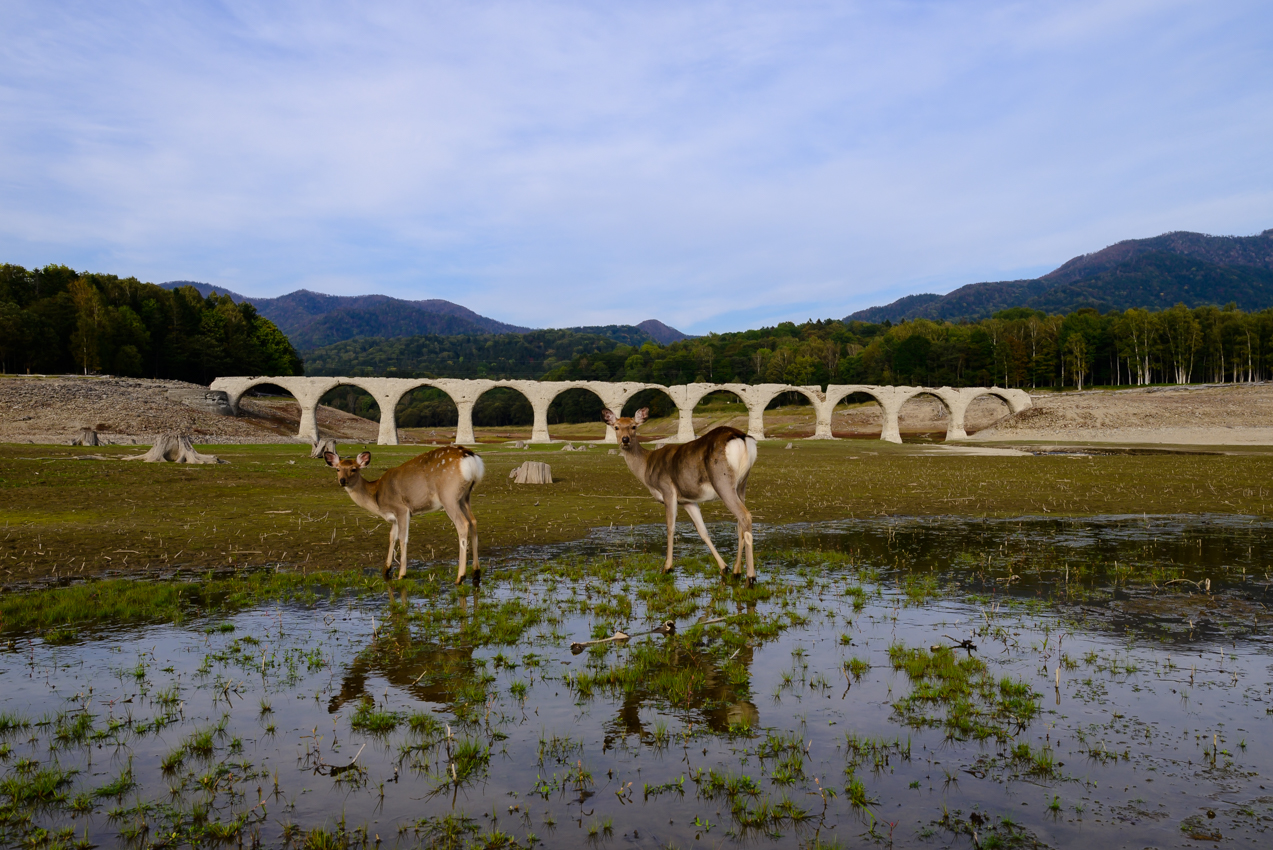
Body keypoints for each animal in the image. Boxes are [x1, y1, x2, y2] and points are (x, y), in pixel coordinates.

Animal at [323, 445, 486, 585]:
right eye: (337, 469)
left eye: (354, 469)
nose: (342, 481)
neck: (377, 497)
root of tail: (471, 458)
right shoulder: (395, 517)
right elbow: (392, 536)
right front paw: (386, 570)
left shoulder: (401, 509)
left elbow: (402, 538)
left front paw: (401, 574)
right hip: (464, 497)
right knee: (473, 521)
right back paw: (476, 572)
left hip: (448, 495)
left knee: (463, 524)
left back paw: (460, 577)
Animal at [603, 407, 758, 585]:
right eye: (616, 427)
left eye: (633, 426)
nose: (625, 439)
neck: (647, 468)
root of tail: (742, 438)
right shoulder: (687, 501)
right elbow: (702, 531)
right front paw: (723, 567)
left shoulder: (667, 490)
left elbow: (670, 527)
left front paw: (667, 567)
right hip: (742, 484)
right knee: (739, 523)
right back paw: (736, 572)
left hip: (722, 481)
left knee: (745, 516)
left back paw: (750, 577)